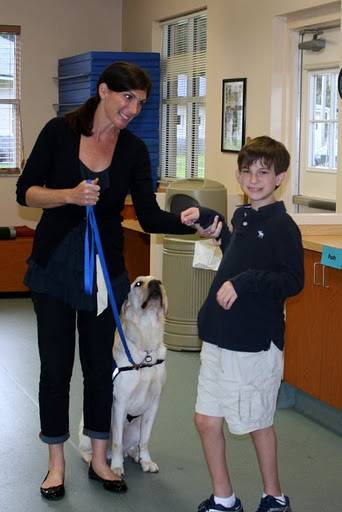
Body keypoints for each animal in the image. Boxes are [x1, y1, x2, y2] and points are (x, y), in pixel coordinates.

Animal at [79, 276, 167, 476]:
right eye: (138, 283)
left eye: (159, 281)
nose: (154, 284)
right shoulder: (120, 403)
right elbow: (118, 442)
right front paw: (116, 468)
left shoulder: (153, 405)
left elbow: (145, 440)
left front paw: (146, 461)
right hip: (90, 430)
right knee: (91, 450)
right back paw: (97, 461)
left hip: (135, 428)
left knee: (132, 446)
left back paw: (136, 456)